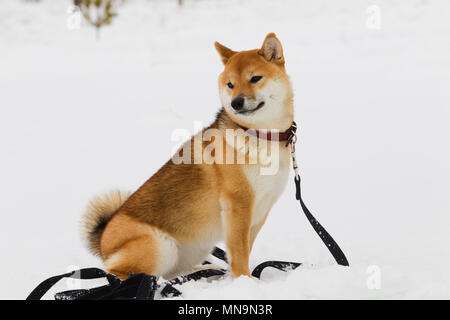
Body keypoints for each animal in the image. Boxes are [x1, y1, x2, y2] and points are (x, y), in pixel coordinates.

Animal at [81, 31, 296, 278]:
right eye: (230, 84)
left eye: (255, 78)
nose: (236, 102)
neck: (261, 135)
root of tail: (104, 240)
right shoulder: (238, 204)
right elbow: (240, 253)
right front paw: (246, 281)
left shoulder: (260, 209)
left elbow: (243, 250)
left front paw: (237, 278)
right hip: (160, 246)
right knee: (120, 274)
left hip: (193, 249)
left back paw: (205, 271)